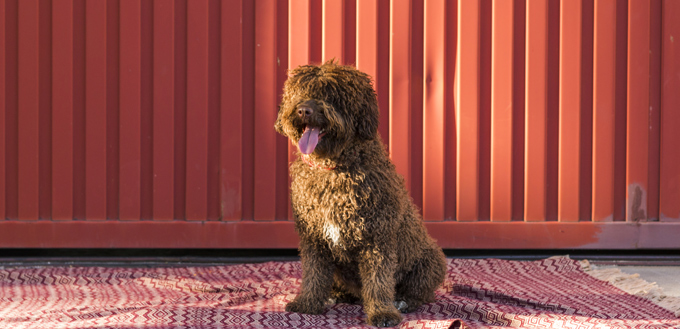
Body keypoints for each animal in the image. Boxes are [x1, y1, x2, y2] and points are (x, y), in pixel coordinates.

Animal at [274, 60, 448, 326]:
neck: (334, 169)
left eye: (332, 94)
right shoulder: (314, 238)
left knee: (421, 293)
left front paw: (382, 312)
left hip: (430, 261)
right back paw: (338, 294)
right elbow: (314, 274)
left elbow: (379, 281)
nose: (304, 111)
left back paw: (403, 302)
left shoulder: (377, 236)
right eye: (300, 91)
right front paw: (308, 302)